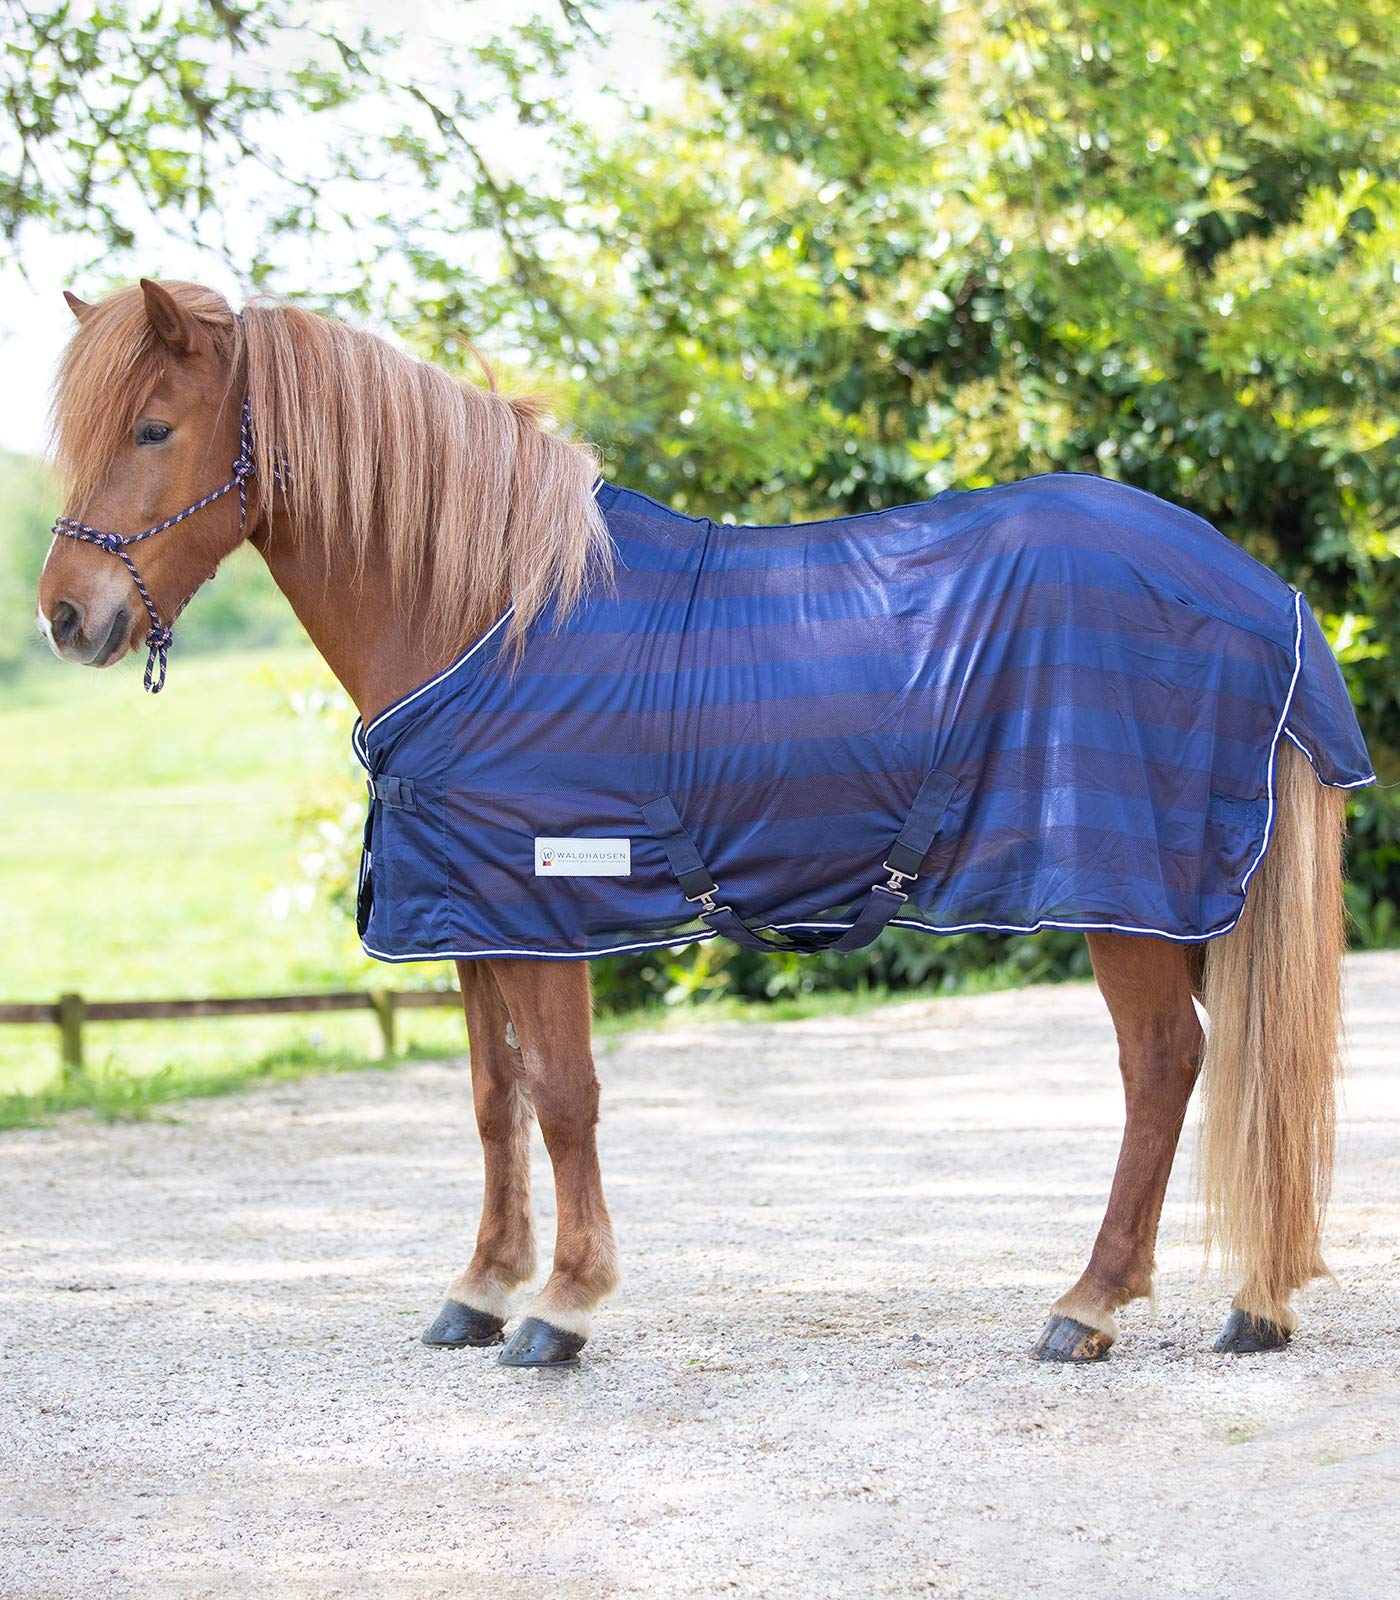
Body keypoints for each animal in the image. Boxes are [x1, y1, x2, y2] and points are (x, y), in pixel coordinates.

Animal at [36, 278, 1365, 1368]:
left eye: (154, 429)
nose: (64, 615)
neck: (486, 614)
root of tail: (1263, 595)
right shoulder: (469, 910)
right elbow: (492, 1099)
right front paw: (479, 1290)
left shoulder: (545, 909)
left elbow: (563, 1096)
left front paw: (562, 1307)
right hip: (1186, 896)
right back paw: (1249, 1302)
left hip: (1126, 894)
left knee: (1163, 1064)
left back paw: (1086, 1304)